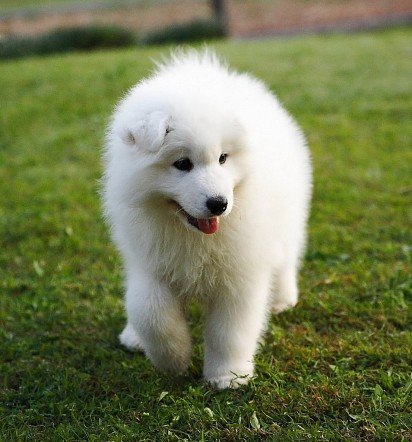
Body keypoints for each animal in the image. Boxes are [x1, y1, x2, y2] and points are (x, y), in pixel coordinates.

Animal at [103, 51, 312, 388]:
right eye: (182, 163)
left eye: (223, 158)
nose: (219, 204)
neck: (195, 237)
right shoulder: (151, 263)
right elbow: (149, 311)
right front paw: (173, 359)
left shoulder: (240, 272)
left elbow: (230, 331)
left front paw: (228, 376)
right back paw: (133, 337)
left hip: (287, 221)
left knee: (285, 259)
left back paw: (282, 299)